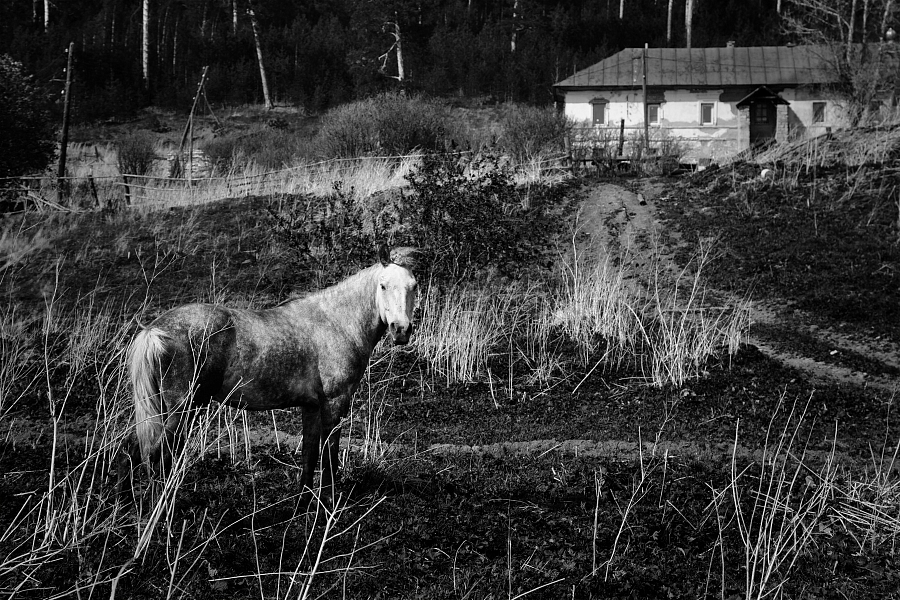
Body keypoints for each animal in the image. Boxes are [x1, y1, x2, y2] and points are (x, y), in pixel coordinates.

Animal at [119, 245, 417, 506]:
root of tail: (154, 330)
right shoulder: (334, 404)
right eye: (383, 285)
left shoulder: (311, 407)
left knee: (132, 448)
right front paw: (329, 503)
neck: (335, 322)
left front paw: (303, 504)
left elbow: (309, 454)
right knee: (156, 455)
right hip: (181, 409)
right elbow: (329, 456)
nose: (401, 329)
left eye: (414, 286)